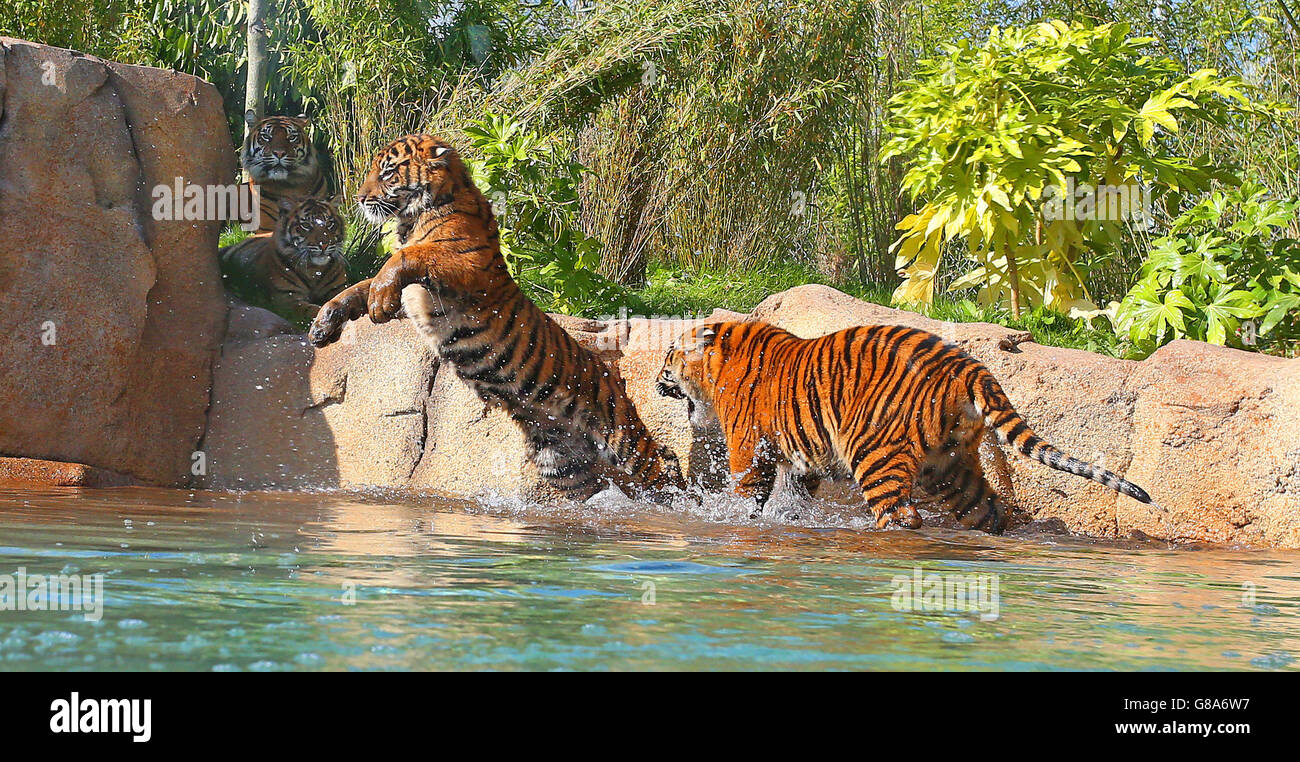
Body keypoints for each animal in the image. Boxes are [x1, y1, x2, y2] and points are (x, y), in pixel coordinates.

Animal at [220, 196, 348, 323]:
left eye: (329, 223)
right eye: (306, 225)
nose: (324, 245)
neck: (315, 269)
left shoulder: (339, 288)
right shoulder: (287, 300)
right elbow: (312, 309)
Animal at [308, 131, 686, 499]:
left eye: (387, 172)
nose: (359, 198)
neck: (412, 219)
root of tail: (608, 370)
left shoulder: (463, 266)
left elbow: (402, 259)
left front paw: (378, 303)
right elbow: (358, 287)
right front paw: (323, 325)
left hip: (619, 433)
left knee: (662, 463)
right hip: (559, 458)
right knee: (591, 487)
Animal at [660, 317, 1159, 530]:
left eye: (667, 355)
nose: (656, 379)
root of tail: (966, 366)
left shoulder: (749, 448)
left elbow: (746, 492)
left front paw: (730, 518)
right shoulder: (801, 459)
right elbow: (792, 496)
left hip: (875, 453)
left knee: (902, 514)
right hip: (950, 465)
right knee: (989, 510)